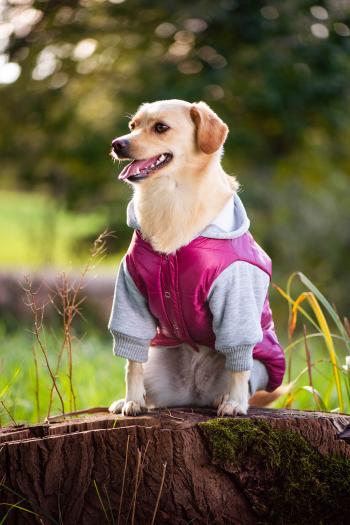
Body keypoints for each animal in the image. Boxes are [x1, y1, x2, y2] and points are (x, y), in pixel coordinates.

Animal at [108, 100, 286, 416]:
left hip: (258, 364)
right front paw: (131, 400)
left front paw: (235, 403)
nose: (117, 144)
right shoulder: (130, 290)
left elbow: (238, 362)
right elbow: (131, 362)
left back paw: (225, 398)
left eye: (161, 127)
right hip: (157, 364)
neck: (171, 197)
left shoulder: (235, 292)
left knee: (240, 373)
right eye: (133, 126)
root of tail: (194, 392)